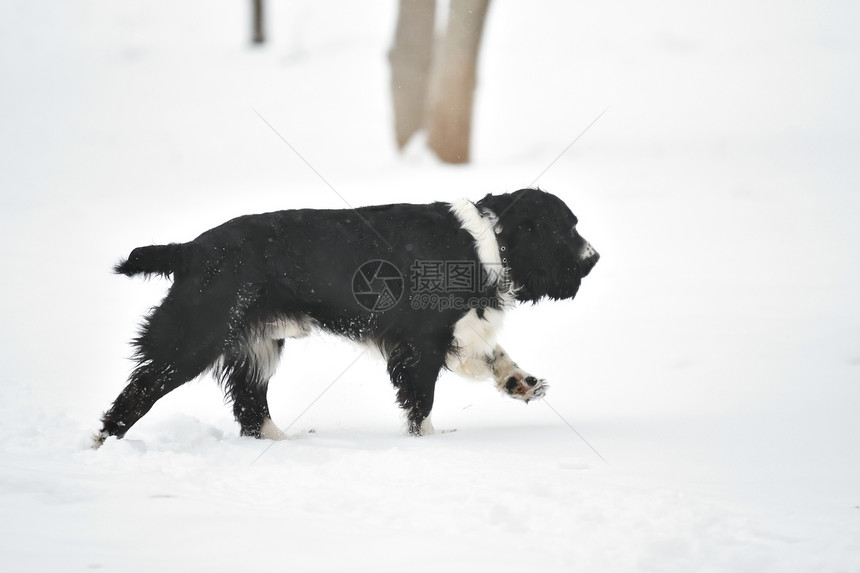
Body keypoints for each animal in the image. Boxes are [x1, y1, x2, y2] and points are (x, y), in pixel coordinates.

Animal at [90, 189, 596, 446]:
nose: (594, 258)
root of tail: (191, 250)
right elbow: (421, 405)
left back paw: (284, 443)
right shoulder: (420, 345)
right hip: (195, 339)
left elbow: (494, 356)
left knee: (251, 406)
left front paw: (521, 383)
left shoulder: (452, 335)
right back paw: (103, 447)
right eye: (567, 228)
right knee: (138, 393)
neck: (486, 240)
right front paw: (431, 445)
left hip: (257, 344)